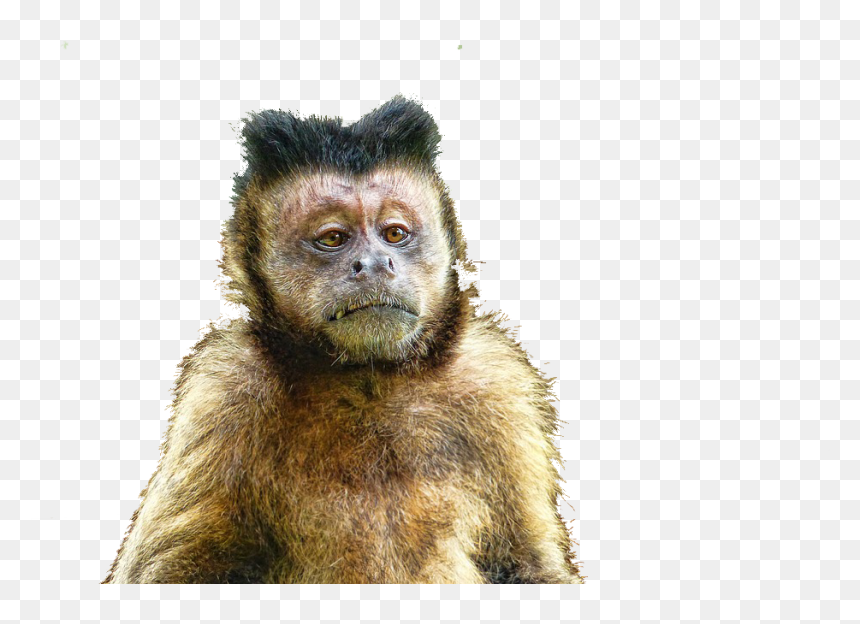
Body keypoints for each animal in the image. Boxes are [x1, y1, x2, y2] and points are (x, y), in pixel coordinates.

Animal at [102, 95, 584, 584]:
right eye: (333, 238)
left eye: (395, 233)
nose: (373, 264)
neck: (368, 379)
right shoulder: (223, 391)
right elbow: (167, 570)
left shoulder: (498, 385)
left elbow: (530, 565)